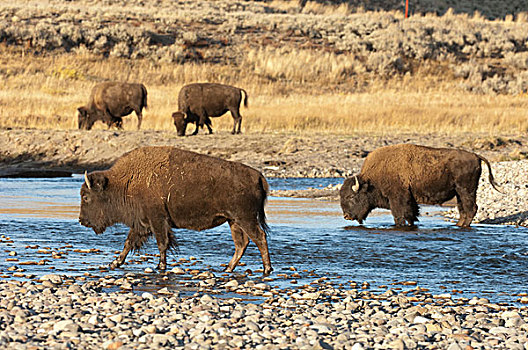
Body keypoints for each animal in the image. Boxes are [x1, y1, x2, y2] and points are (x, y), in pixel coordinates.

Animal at [78, 145, 272, 274]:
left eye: (86, 197)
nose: (81, 220)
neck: (124, 182)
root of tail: (258, 176)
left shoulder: (157, 221)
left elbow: (161, 243)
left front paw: (161, 266)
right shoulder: (143, 223)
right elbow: (128, 242)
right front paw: (114, 263)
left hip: (245, 219)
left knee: (259, 237)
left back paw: (266, 269)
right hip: (234, 221)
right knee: (241, 243)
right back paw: (228, 268)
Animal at [340, 144, 502, 228]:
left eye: (351, 196)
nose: (346, 216)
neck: (371, 180)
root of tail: (476, 156)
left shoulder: (397, 198)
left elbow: (399, 215)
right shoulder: (409, 199)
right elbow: (411, 214)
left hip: (466, 190)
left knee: (471, 208)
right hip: (459, 193)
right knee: (463, 210)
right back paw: (458, 225)